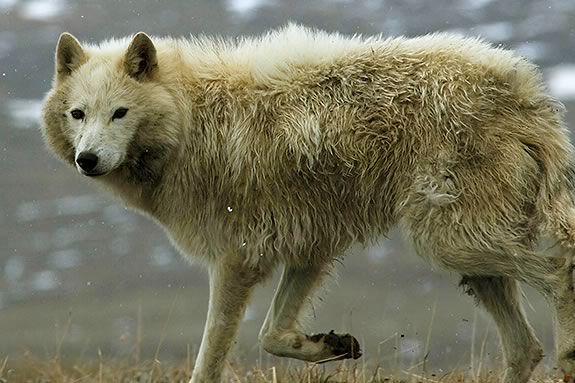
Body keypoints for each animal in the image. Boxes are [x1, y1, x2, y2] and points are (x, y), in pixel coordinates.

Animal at [41, 25, 575, 382]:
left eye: (120, 112)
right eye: (78, 114)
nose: (88, 159)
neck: (191, 127)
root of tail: (525, 86)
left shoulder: (236, 259)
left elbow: (212, 355)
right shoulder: (310, 246)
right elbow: (272, 335)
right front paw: (331, 345)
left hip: (449, 240)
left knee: (558, 269)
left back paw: (569, 353)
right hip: (467, 256)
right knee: (524, 348)